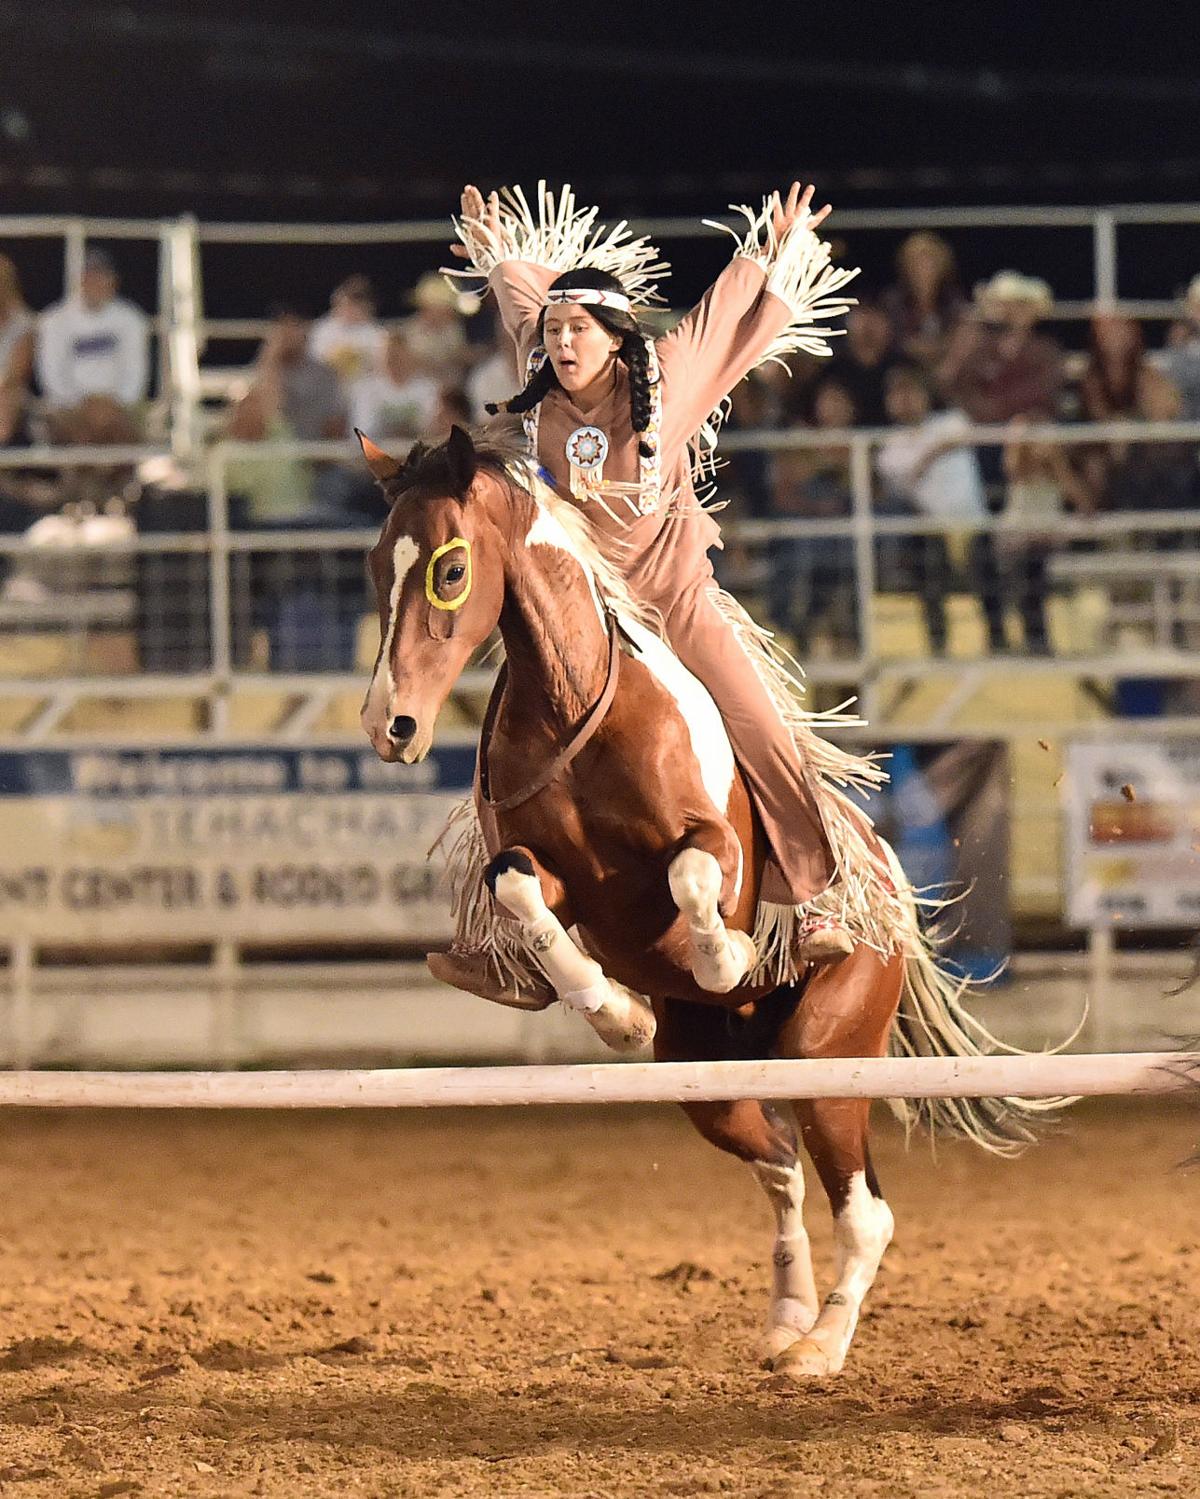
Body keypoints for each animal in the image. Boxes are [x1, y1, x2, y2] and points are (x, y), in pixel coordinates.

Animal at [361, 425, 1054, 1379]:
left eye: (451, 568)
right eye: (372, 566)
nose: (387, 724)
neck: (579, 711)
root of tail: (890, 893)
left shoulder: (713, 843)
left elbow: (694, 874)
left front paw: (725, 954)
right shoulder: (554, 877)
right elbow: (518, 888)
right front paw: (615, 1011)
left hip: (828, 1055)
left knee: (864, 1208)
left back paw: (821, 1345)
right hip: (710, 1083)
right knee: (782, 1167)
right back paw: (788, 1316)